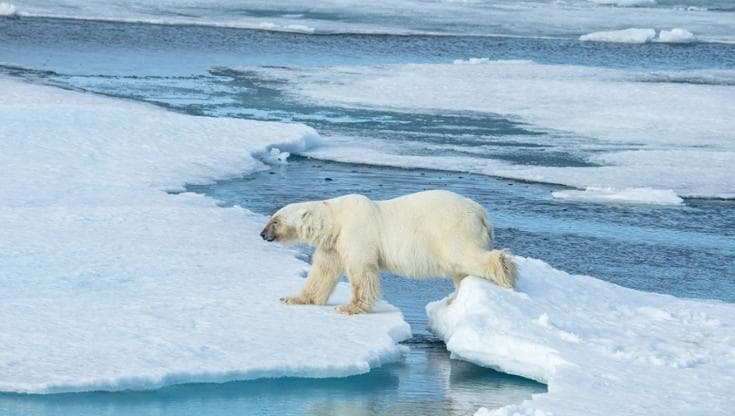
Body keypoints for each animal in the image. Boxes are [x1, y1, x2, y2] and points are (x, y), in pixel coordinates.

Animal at [262, 190, 516, 314]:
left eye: (275, 220)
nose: (262, 234)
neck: (336, 219)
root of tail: (482, 213)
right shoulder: (333, 244)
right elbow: (323, 272)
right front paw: (292, 298)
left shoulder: (357, 234)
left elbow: (362, 272)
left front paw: (348, 307)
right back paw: (455, 299)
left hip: (452, 228)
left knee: (464, 255)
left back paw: (505, 271)